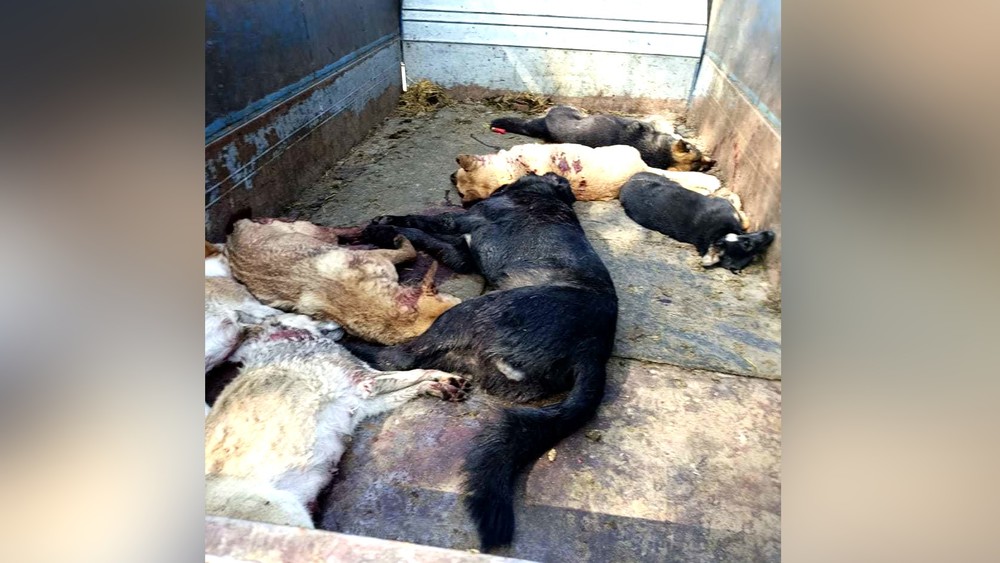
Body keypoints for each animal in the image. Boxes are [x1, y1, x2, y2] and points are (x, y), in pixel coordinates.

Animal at [205, 319, 470, 528]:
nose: (342, 326)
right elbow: (418, 372)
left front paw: (440, 387)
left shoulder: (364, 400)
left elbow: (414, 385)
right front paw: (445, 379)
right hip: (281, 508)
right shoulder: (366, 381)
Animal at [225, 218, 461, 345]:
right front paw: (397, 237)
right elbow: (409, 251)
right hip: (313, 231)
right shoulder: (382, 258)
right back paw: (364, 230)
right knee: (333, 232)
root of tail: (233, 232)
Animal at [344, 172, 619, 551]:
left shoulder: (466, 220)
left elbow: (421, 223)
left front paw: (385, 226)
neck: (544, 195)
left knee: (396, 358)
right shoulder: (461, 250)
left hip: (468, 312)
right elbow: (429, 239)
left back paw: (344, 338)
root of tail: (592, 351)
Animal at [620, 172, 776, 273]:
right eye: (747, 245)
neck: (719, 234)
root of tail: (625, 186)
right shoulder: (725, 206)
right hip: (669, 181)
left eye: (753, 255)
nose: (771, 234)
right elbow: (739, 210)